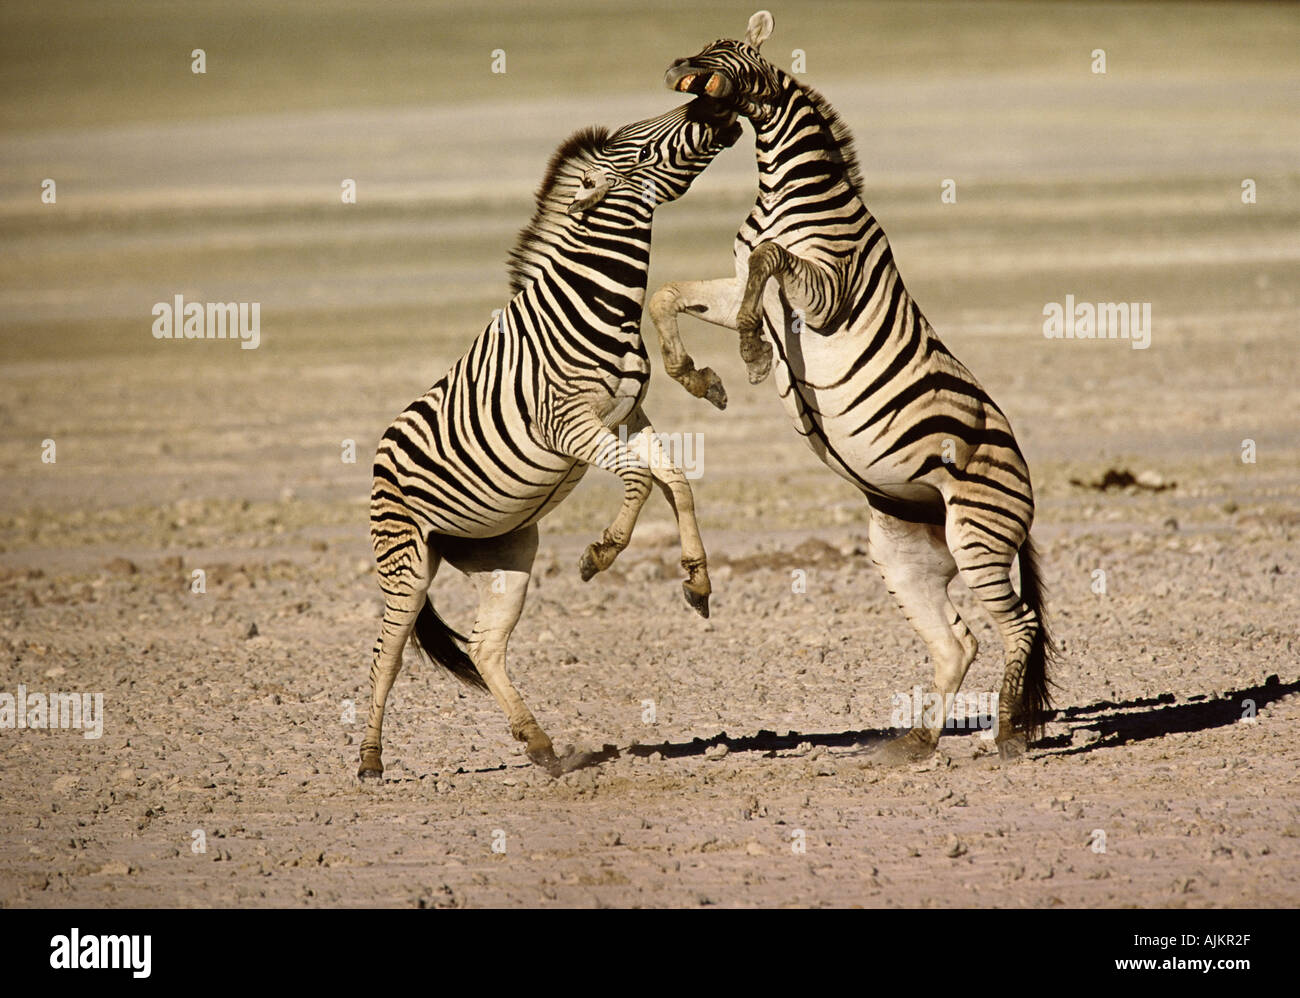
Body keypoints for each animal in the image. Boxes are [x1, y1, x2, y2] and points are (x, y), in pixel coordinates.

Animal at [360, 97, 742, 780]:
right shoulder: (569, 424)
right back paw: (370, 760)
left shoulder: (627, 416)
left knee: (484, 647)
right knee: (390, 653)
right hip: (405, 560)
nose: (715, 107)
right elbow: (641, 479)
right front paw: (602, 552)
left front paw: (697, 581)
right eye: (644, 147)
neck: (599, 302)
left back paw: (541, 746)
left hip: (504, 552)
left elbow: (676, 479)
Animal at [649, 11, 1054, 762]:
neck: (784, 191)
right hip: (906, 550)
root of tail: (1025, 487)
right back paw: (918, 743)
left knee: (1019, 627)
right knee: (958, 642)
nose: (676, 69)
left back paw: (1007, 736)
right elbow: (669, 294)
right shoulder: (733, 282)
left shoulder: (826, 291)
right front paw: (696, 378)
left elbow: (770, 262)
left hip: (978, 534)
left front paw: (753, 355)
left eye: (732, 52)